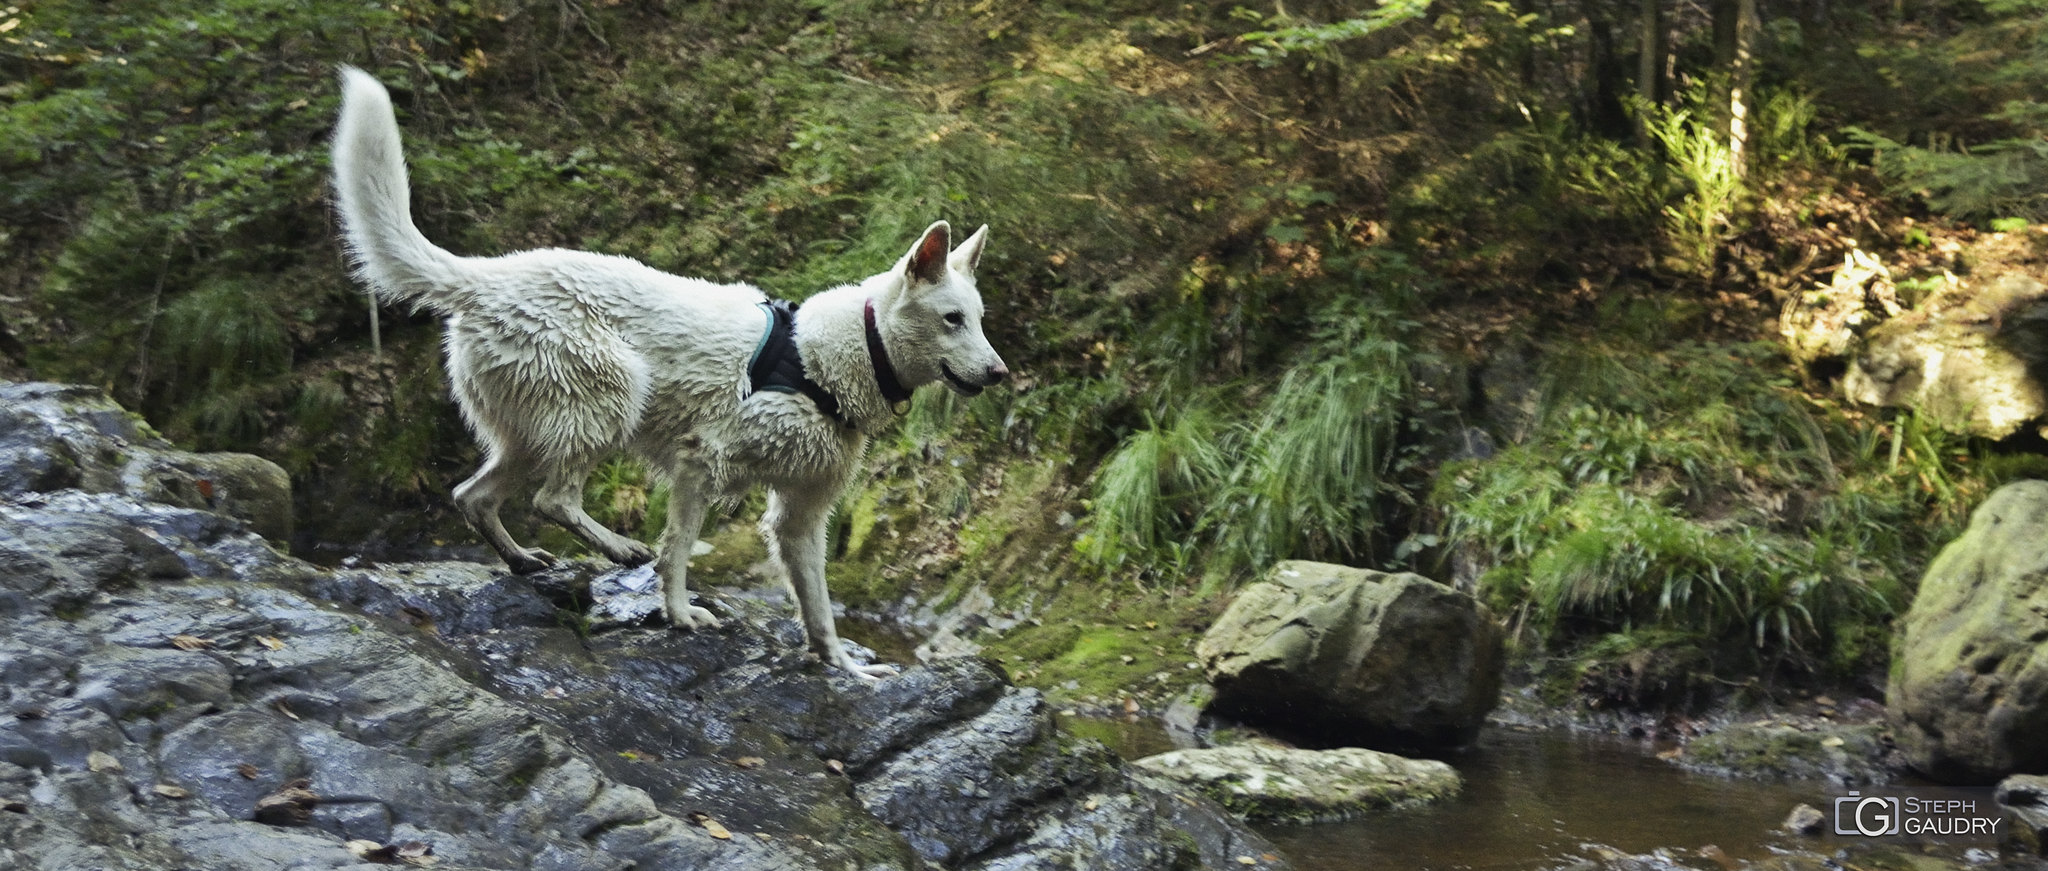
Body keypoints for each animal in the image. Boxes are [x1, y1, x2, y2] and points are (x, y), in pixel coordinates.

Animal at [327, 69, 1007, 680]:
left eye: (978, 319)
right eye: (951, 319)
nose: (1000, 373)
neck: (831, 358)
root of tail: (484, 278)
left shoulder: (801, 514)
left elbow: (817, 602)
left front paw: (842, 664)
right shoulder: (700, 463)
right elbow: (676, 550)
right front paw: (680, 614)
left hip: (534, 429)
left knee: (474, 496)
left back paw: (522, 562)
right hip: (609, 397)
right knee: (552, 498)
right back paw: (615, 546)